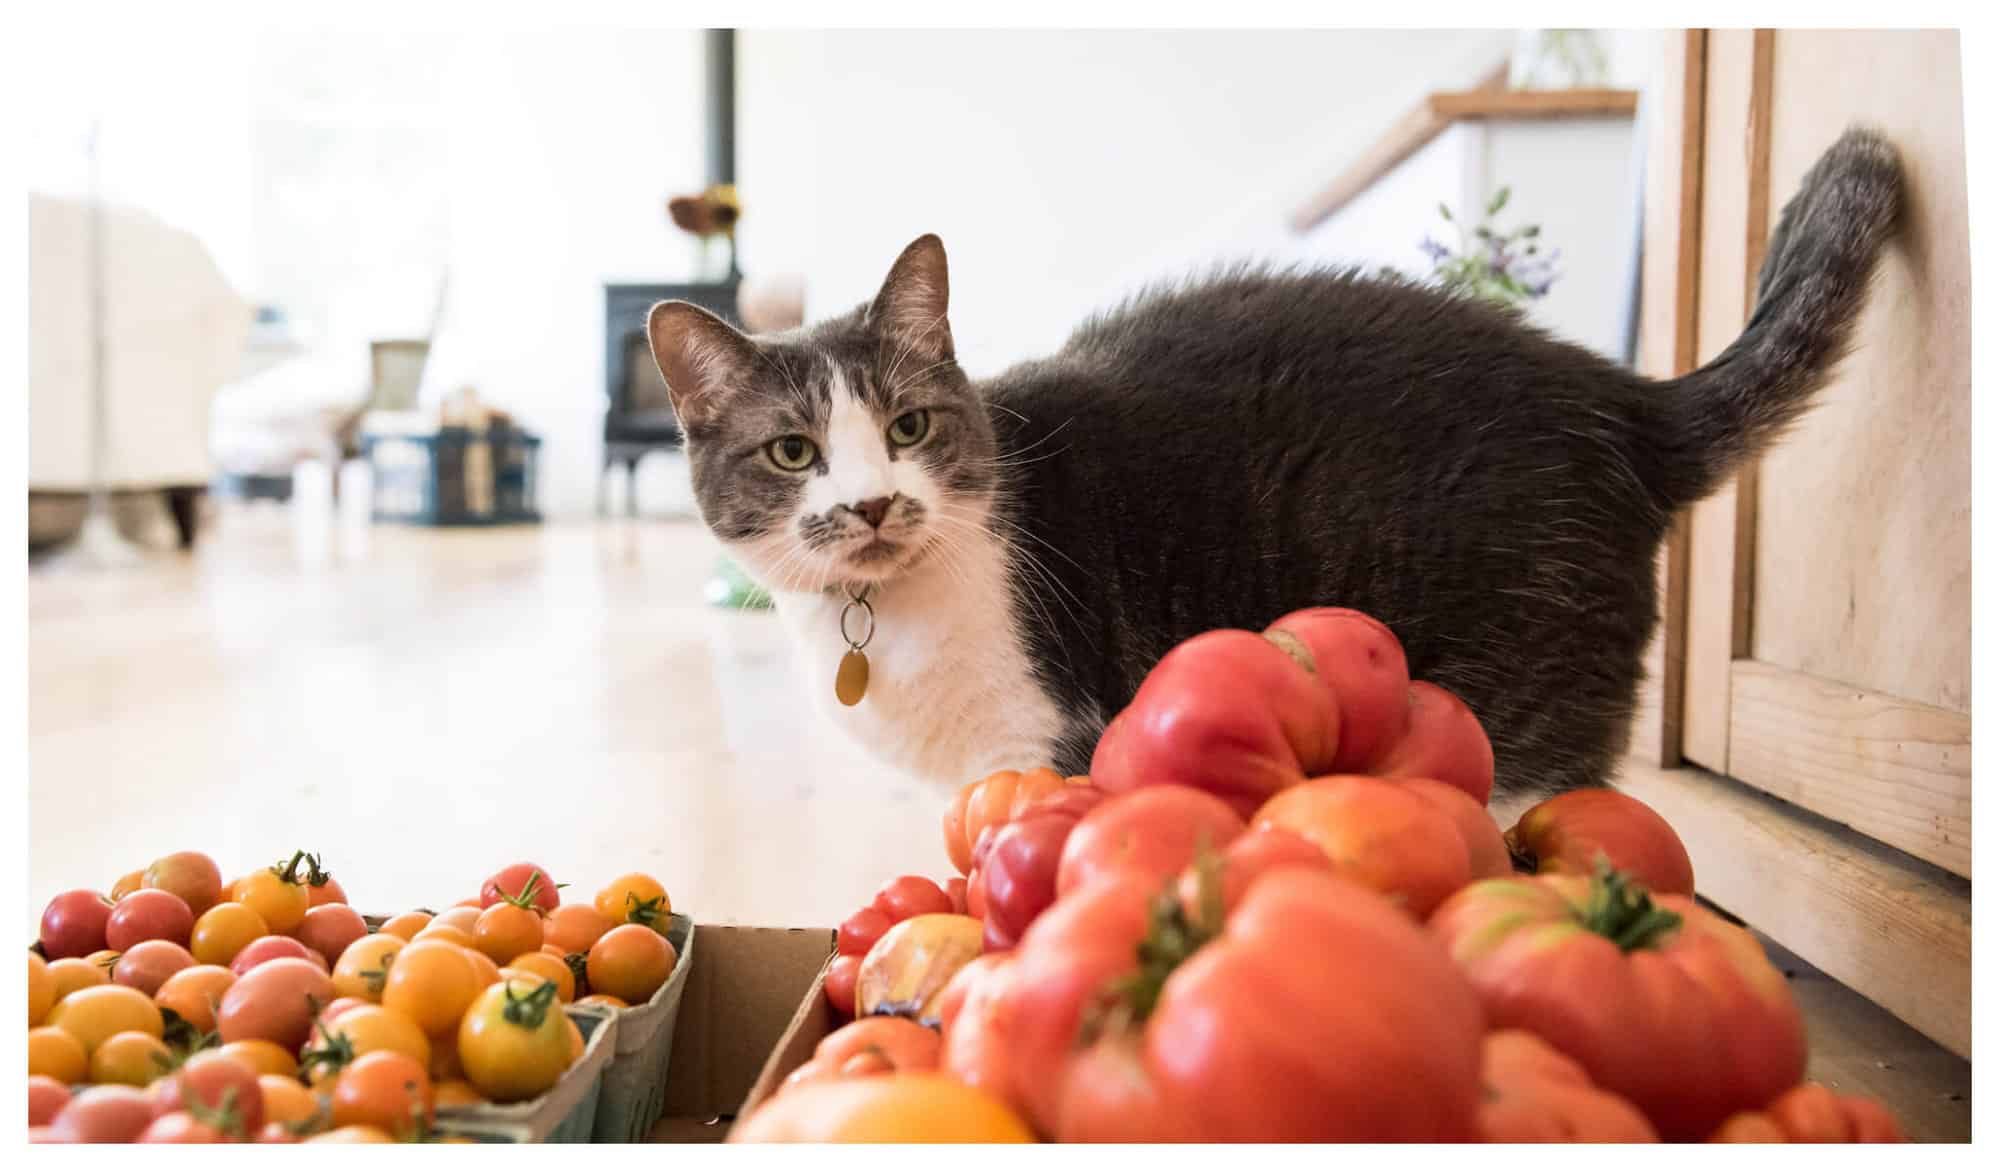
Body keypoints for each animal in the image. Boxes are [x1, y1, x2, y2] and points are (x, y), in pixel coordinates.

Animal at [656, 130, 1904, 804]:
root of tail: (1621, 398)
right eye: (793, 451)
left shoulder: (1043, 741)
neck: (884, 621)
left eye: (908, 427)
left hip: (1516, 720)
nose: (870, 502)